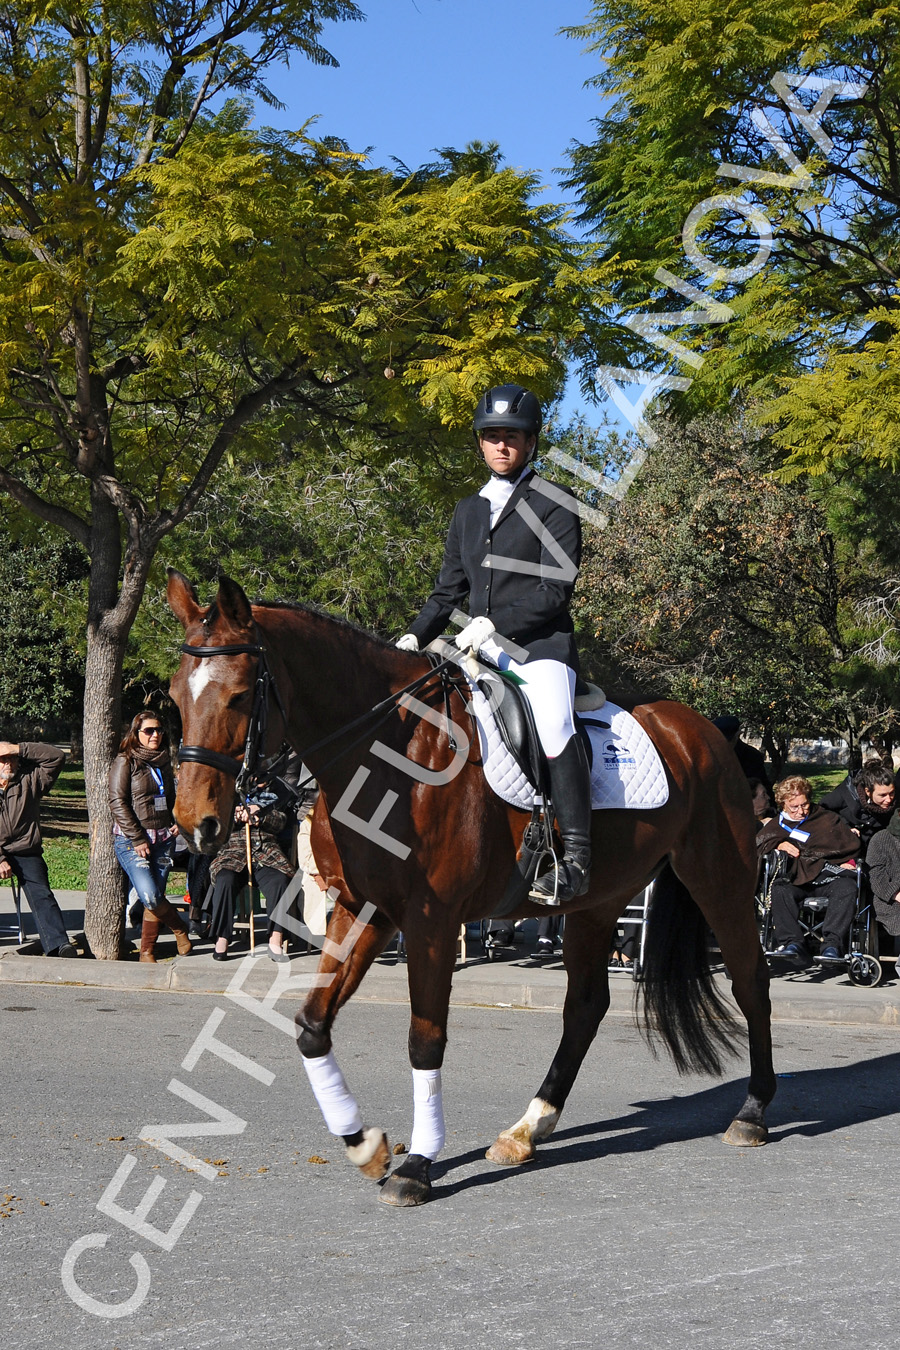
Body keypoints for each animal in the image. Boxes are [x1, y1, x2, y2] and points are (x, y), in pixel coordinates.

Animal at [167, 569, 777, 1204]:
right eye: (176, 695)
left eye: (240, 695)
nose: (194, 823)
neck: (390, 752)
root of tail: (703, 729)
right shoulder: (363, 910)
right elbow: (312, 1025)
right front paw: (366, 1145)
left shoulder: (431, 921)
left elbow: (425, 1039)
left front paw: (417, 1164)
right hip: (598, 900)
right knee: (586, 1005)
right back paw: (528, 1128)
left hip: (721, 881)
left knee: (750, 981)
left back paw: (752, 1112)